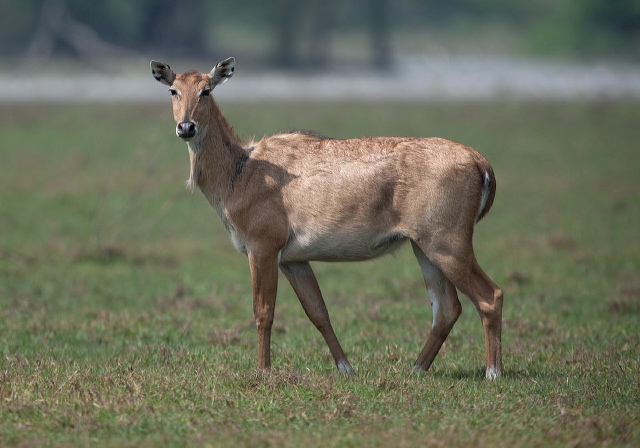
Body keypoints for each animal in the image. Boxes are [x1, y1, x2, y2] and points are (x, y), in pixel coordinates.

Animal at [150, 56, 504, 378]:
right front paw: (346, 368)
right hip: (422, 245)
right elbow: (318, 312)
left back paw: (493, 372)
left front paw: (262, 371)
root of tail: (482, 164)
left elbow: (263, 312)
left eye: (207, 90)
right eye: (173, 90)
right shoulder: (293, 258)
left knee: (490, 296)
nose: (186, 127)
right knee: (447, 307)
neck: (239, 174)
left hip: (447, 239)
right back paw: (415, 368)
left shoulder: (263, 244)